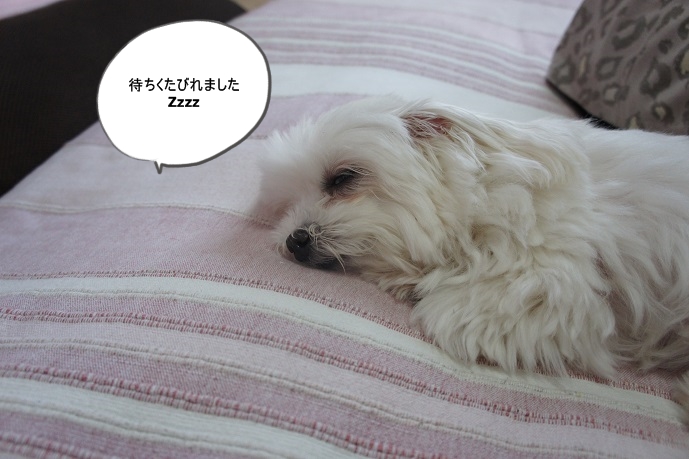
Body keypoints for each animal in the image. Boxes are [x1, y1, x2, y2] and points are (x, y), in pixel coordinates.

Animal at [254, 95, 689, 416]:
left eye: (343, 178)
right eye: (287, 206)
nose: (295, 239)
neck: (491, 199)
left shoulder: (555, 280)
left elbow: (462, 310)